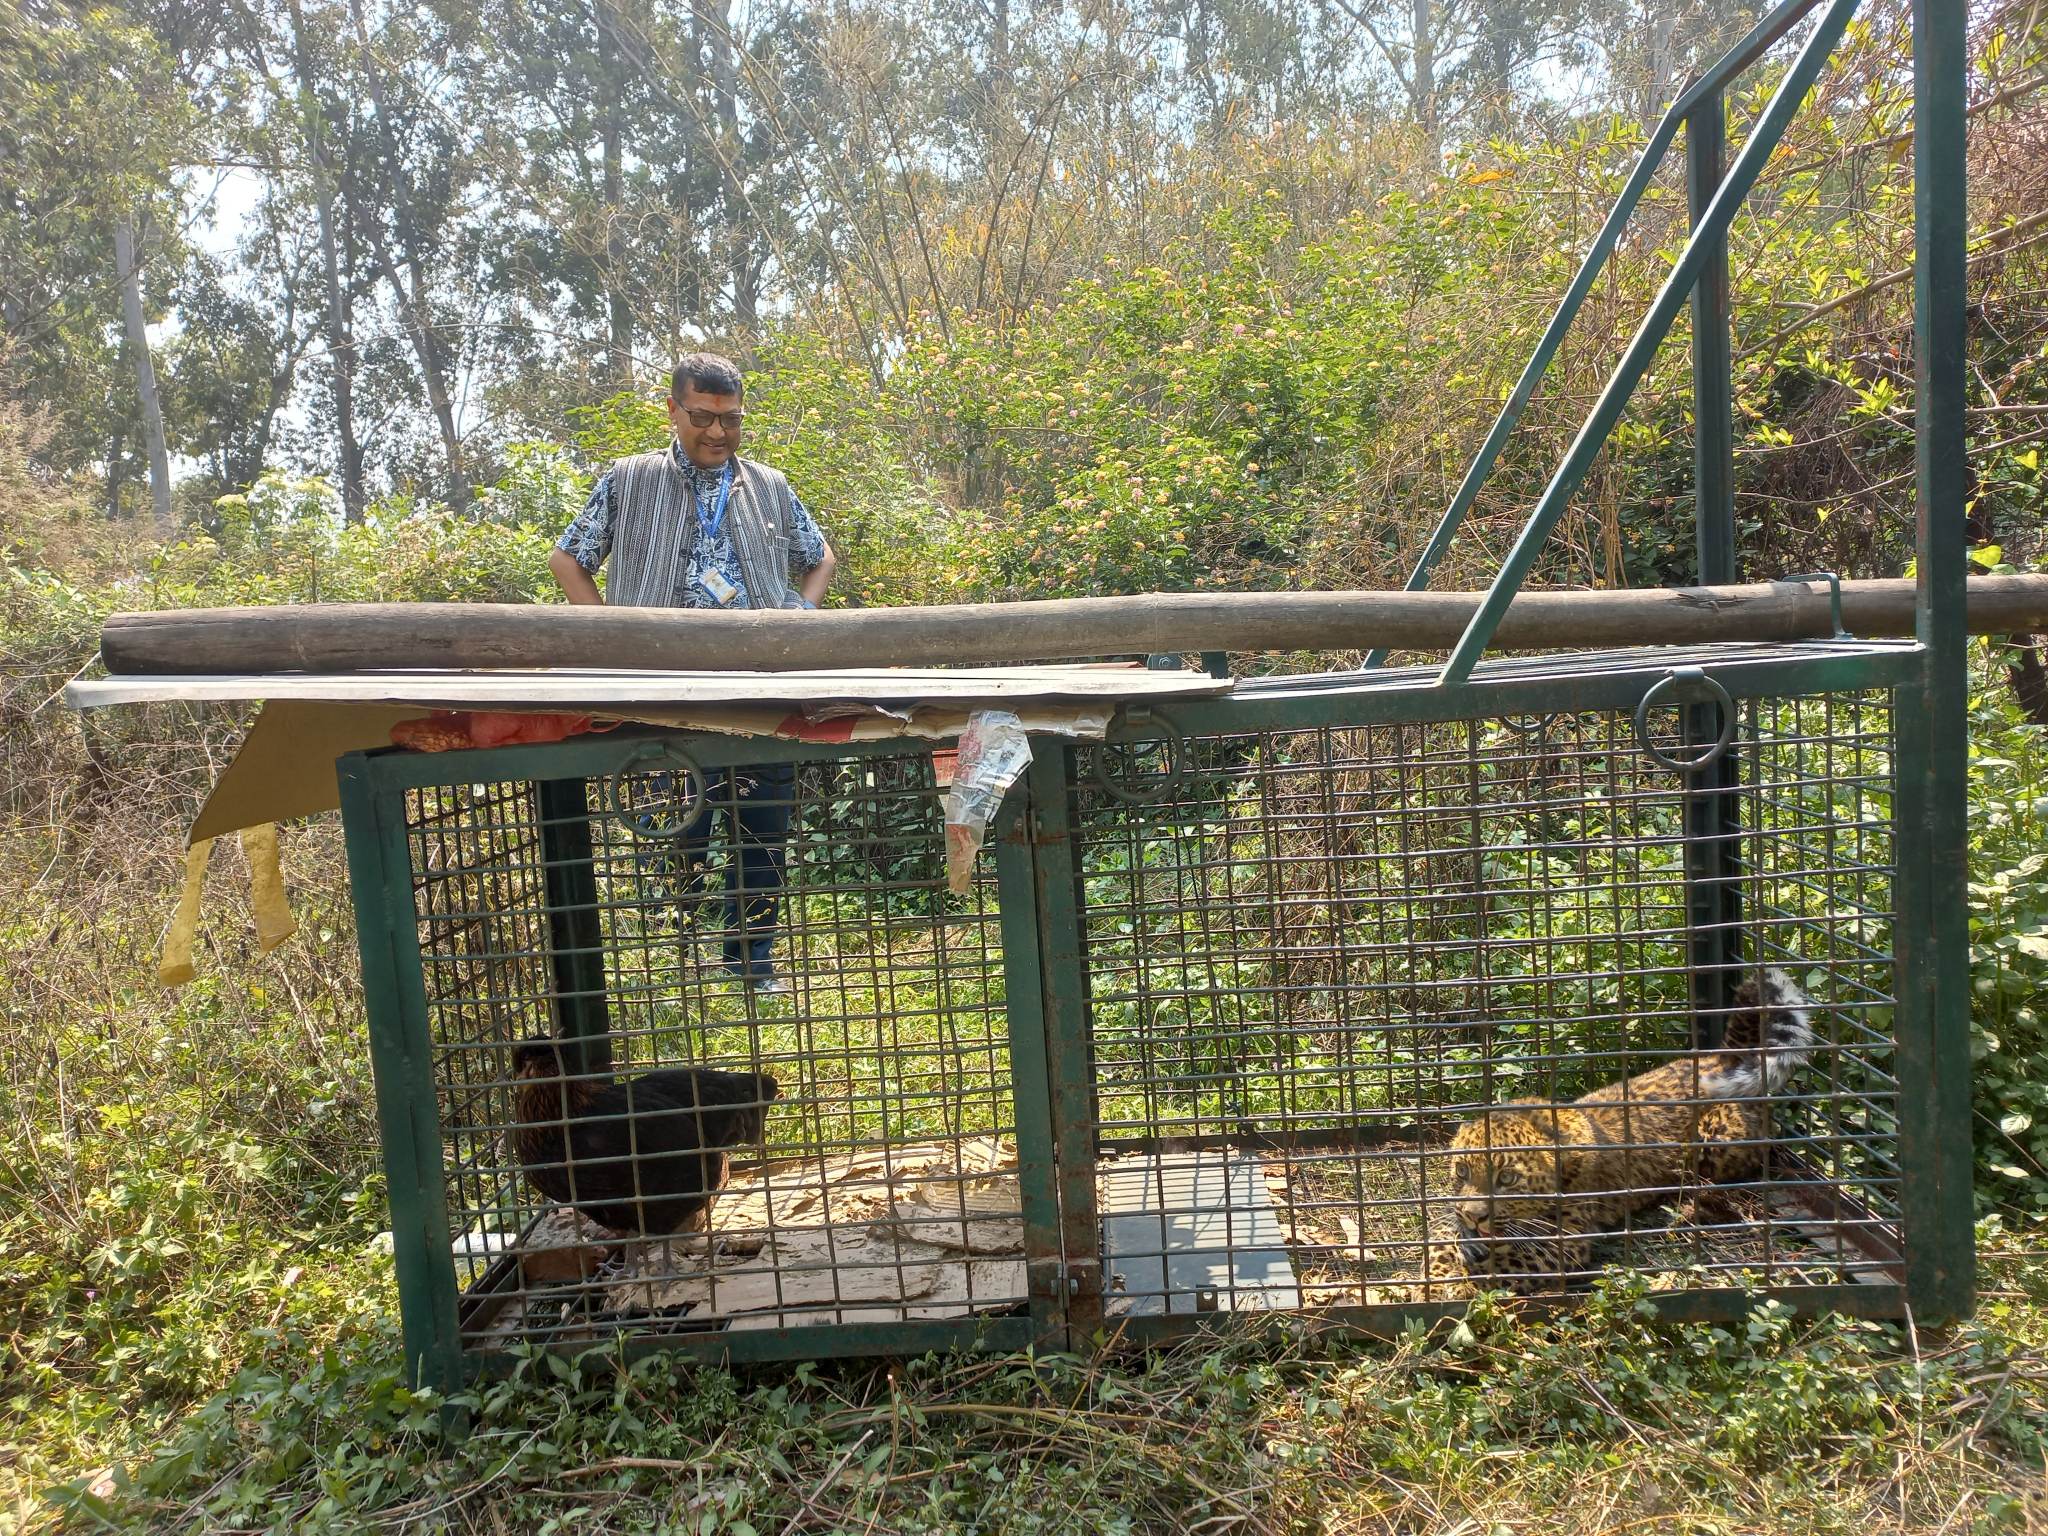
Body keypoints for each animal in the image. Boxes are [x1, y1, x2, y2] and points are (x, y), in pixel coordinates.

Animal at [1449, 974, 1818, 1302]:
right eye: (1462, 1172)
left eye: (1507, 1179)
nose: (1473, 1217)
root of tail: (1717, 1059)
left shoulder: (1563, 1240)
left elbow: (1499, 1268)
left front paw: (1456, 1286)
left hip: (1719, 1141)